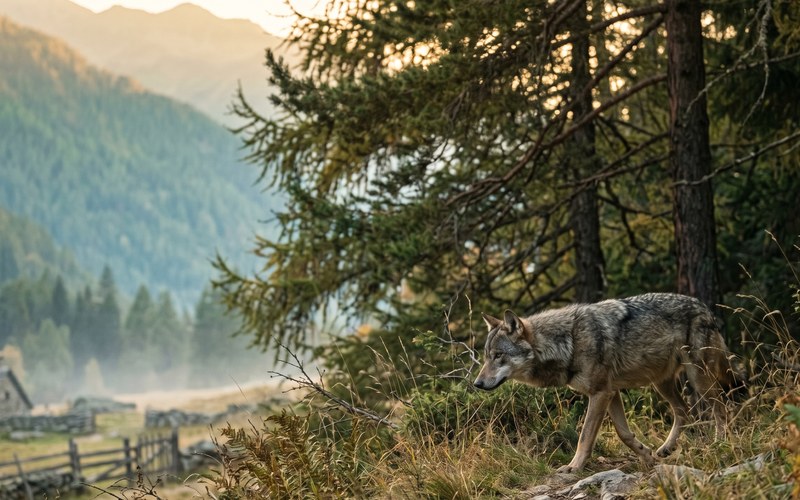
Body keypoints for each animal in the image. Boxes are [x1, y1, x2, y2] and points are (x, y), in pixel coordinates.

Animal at [473, 293, 742, 473]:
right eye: (486, 356)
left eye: (498, 355)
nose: (477, 383)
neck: (568, 342)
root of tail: (705, 307)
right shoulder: (611, 393)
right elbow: (624, 434)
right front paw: (647, 458)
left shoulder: (600, 393)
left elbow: (585, 436)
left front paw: (573, 467)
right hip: (661, 383)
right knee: (683, 410)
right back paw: (665, 449)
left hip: (698, 377)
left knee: (721, 409)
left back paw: (719, 443)